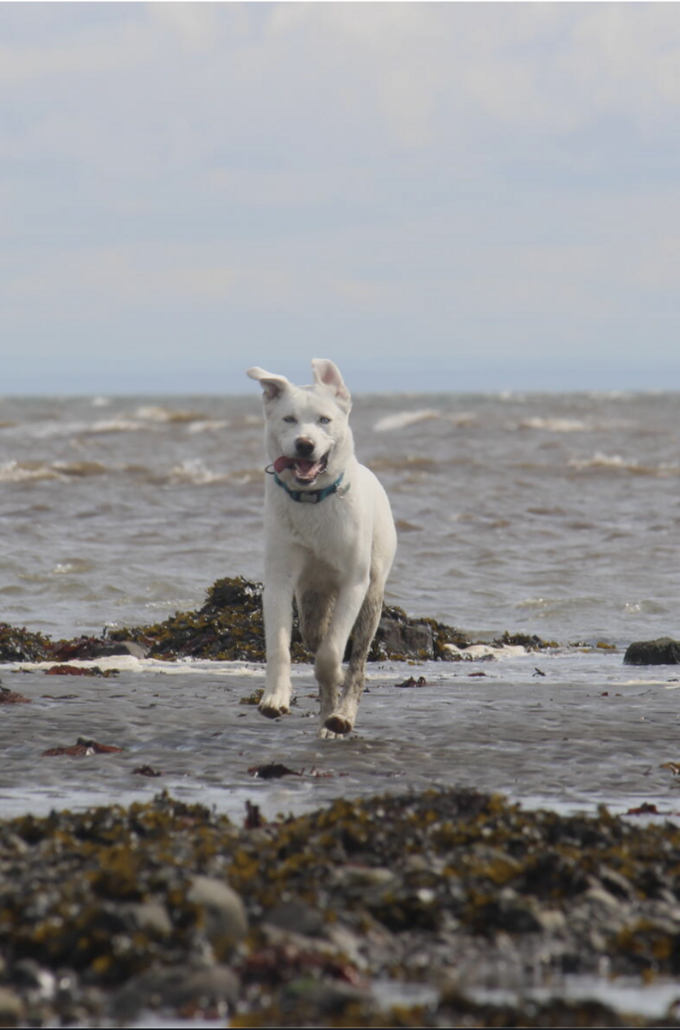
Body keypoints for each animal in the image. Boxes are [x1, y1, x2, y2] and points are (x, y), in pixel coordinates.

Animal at [247, 358, 395, 737]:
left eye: (324, 420)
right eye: (289, 419)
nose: (304, 444)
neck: (312, 498)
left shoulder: (354, 583)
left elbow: (331, 656)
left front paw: (336, 700)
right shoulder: (279, 578)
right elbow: (279, 645)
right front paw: (275, 698)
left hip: (372, 595)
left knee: (357, 660)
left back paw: (340, 716)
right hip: (312, 600)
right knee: (315, 636)